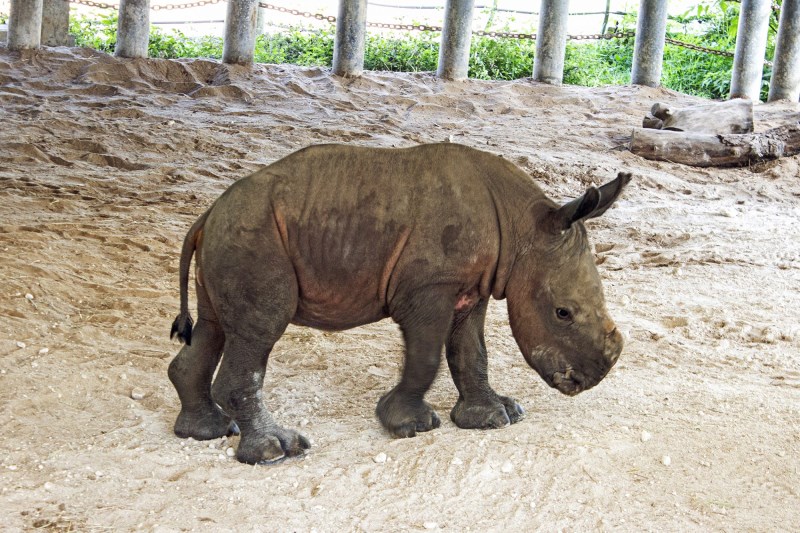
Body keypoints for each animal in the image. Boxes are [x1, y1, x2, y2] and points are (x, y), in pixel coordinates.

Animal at [169, 143, 632, 464]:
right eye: (562, 313)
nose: (591, 379)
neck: (525, 228)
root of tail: (207, 214)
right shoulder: (427, 286)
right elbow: (426, 356)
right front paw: (408, 425)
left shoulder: (473, 286)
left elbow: (471, 352)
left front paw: (497, 416)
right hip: (253, 237)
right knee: (260, 328)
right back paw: (277, 450)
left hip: (235, 236)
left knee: (215, 327)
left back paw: (206, 431)